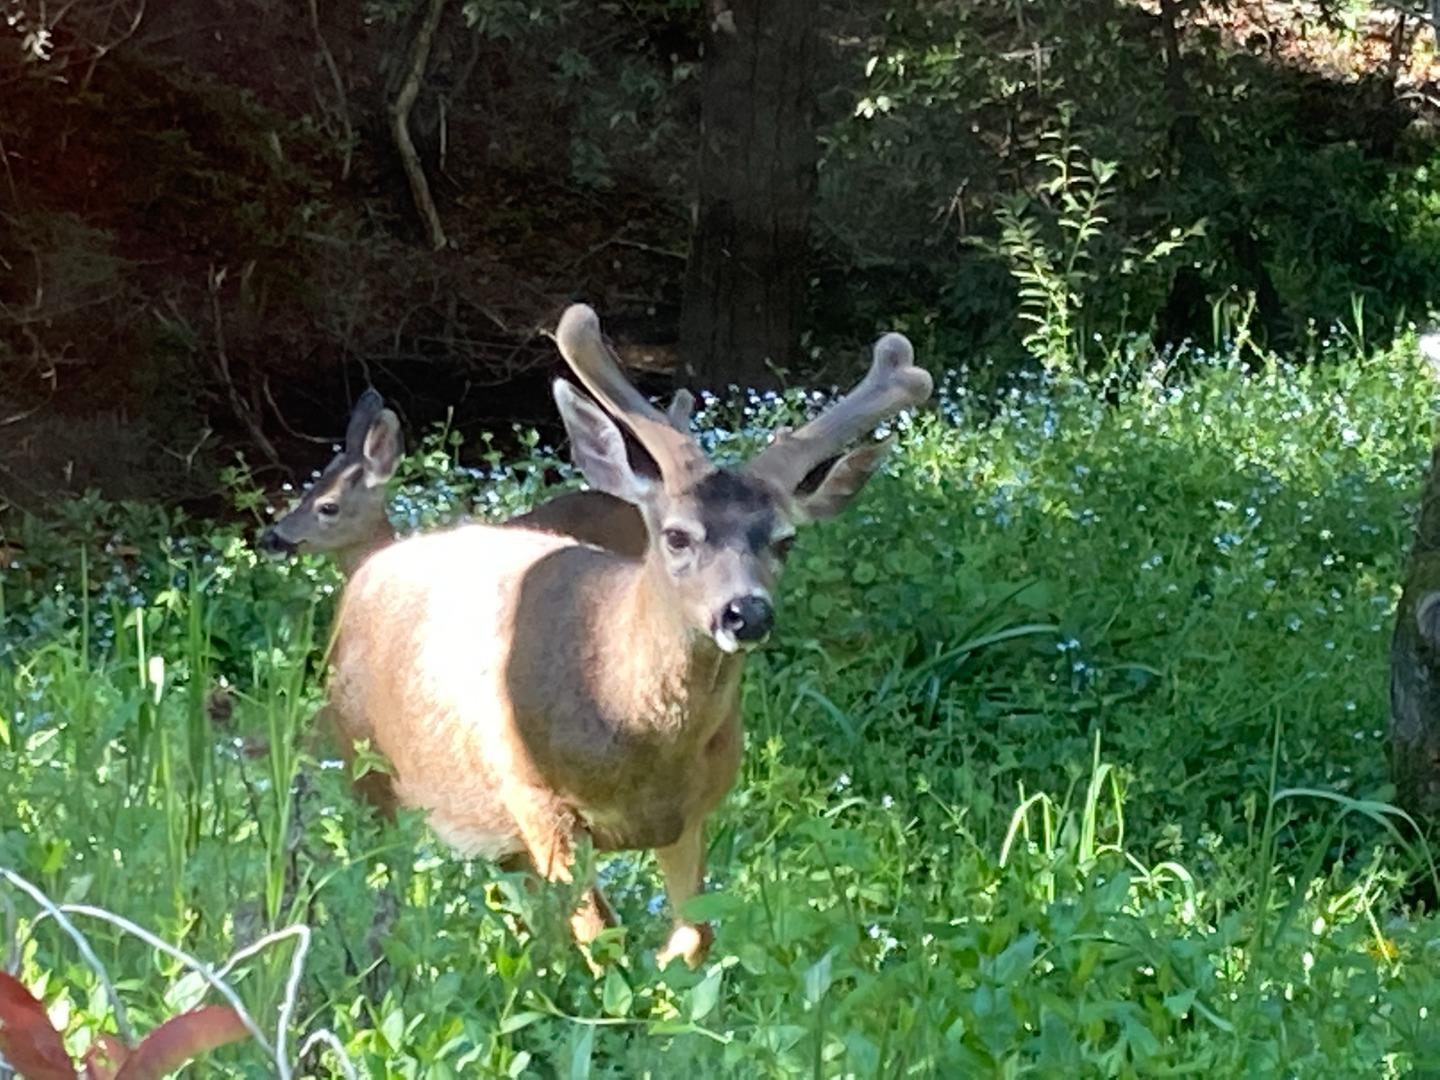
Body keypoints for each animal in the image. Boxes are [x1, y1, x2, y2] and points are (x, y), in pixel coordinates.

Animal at [326, 305, 933, 973]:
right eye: (677, 535)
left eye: (785, 540)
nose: (746, 613)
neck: (630, 730)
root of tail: (368, 570)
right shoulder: (534, 794)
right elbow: (602, 939)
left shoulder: (694, 811)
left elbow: (694, 937)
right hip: (363, 767)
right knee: (375, 891)